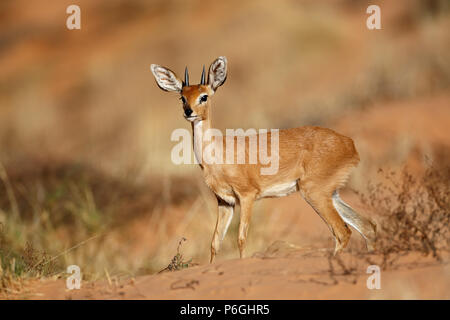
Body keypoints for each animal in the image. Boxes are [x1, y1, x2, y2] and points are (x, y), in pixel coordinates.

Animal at [151, 57, 376, 262]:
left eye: (204, 96)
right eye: (182, 97)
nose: (189, 112)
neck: (218, 155)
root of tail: (349, 144)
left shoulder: (247, 196)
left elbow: (241, 238)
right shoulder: (224, 202)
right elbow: (215, 242)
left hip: (314, 192)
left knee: (343, 232)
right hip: (331, 193)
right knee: (367, 227)